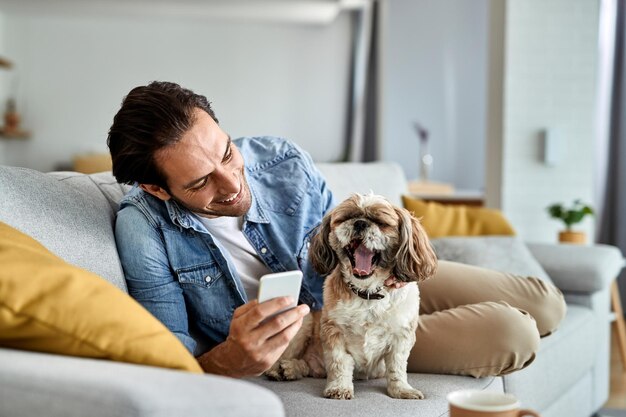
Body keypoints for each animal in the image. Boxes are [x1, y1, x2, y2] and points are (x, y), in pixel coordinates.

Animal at [266, 193, 436, 400]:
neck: (367, 294)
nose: (360, 223)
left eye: (381, 222)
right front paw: (339, 388)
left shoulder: (401, 335)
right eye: (347, 217)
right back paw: (280, 369)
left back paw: (291, 369)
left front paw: (402, 390)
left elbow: (397, 366)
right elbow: (340, 362)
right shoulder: (333, 330)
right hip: (303, 323)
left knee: (306, 367)